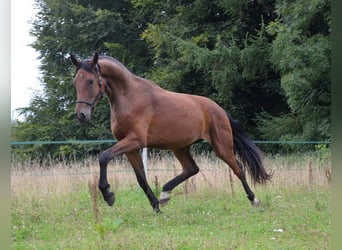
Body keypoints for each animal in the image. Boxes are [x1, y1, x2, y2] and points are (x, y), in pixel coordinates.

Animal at [70, 53, 272, 213]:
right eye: (75, 82)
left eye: (90, 81)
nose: (81, 115)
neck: (129, 96)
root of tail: (219, 109)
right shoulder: (130, 148)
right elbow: (141, 178)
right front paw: (155, 207)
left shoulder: (135, 140)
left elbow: (104, 156)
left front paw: (108, 194)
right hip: (180, 147)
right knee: (192, 169)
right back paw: (165, 194)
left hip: (222, 146)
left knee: (238, 168)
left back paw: (254, 200)